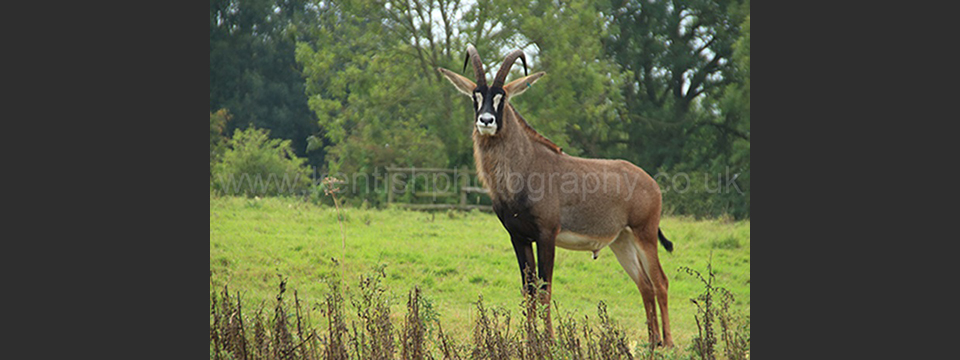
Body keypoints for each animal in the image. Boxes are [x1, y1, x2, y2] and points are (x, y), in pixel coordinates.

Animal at [440, 45, 676, 348]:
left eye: (502, 98)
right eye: (475, 97)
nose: (486, 121)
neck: (525, 167)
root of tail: (651, 183)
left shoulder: (546, 235)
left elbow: (545, 289)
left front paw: (549, 339)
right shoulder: (519, 237)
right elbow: (528, 289)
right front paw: (530, 339)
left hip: (644, 234)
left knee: (660, 282)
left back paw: (667, 342)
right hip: (622, 241)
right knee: (644, 285)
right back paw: (652, 341)